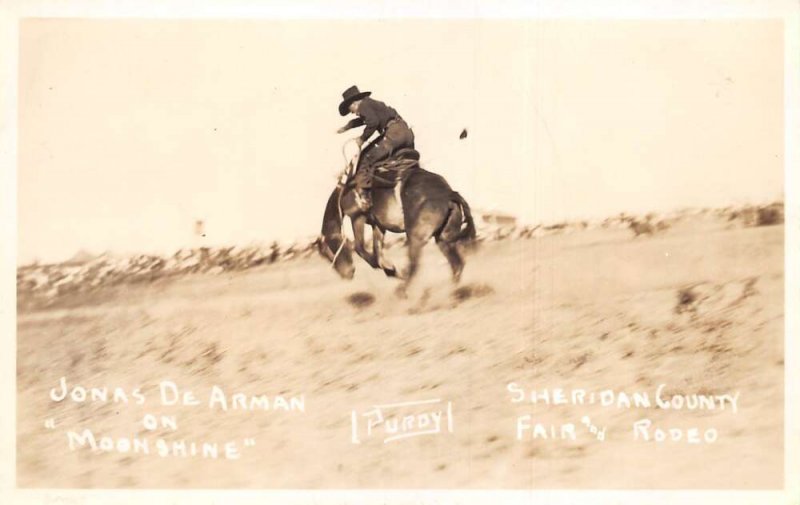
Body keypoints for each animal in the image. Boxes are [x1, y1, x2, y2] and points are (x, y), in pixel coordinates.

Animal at [318, 139, 476, 296]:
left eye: (328, 252)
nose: (347, 274)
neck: (345, 192)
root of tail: (449, 194)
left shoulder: (357, 217)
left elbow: (360, 248)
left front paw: (392, 270)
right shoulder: (378, 225)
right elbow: (377, 252)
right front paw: (390, 269)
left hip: (416, 236)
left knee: (415, 265)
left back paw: (402, 291)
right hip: (443, 237)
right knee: (456, 264)